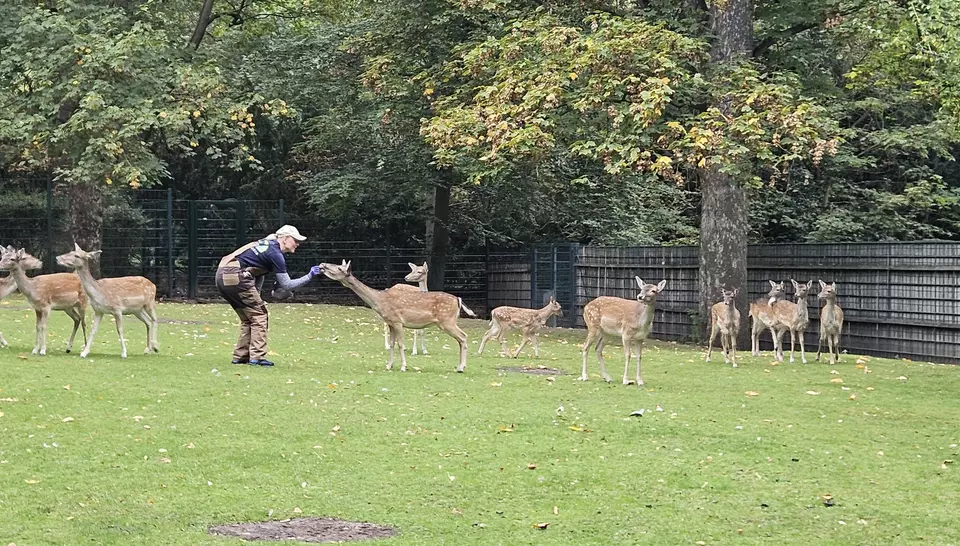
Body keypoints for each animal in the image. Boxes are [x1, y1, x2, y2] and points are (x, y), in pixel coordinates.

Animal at [318, 260, 476, 373]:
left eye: (340, 268)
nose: (322, 265)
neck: (380, 301)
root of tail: (458, 299)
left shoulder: (397, 321)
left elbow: (401, 344)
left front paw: (403, 366)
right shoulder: (390, 322)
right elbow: (392, 344)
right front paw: (389, 365)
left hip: (447, 320)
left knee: (463, 336)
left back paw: (461, 368)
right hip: (449, 321)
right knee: (461, 338)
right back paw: (460, 366)